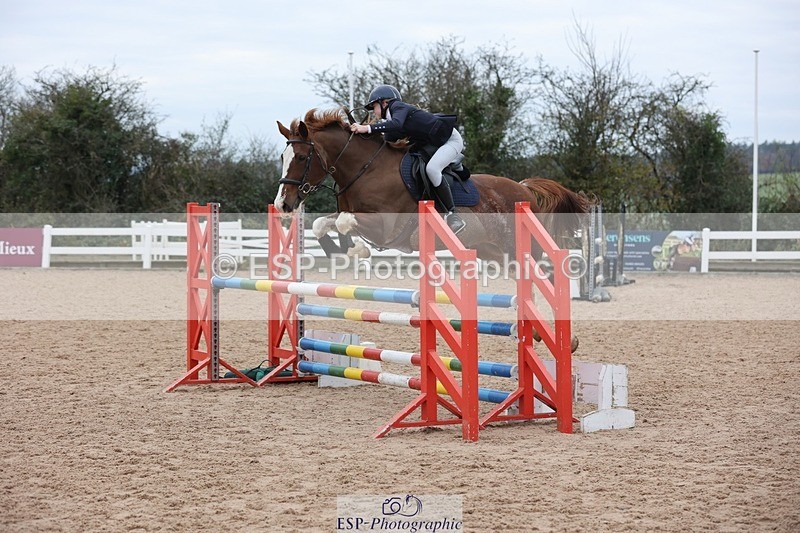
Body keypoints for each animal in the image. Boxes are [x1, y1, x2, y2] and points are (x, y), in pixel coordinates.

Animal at [274, 107, 591, 265]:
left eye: (301, 157)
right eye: (281, 157)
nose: (283, 204)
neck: (365, 169)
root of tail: (525, 190)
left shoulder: (386, 225)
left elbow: (343, 222)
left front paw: (355, 251)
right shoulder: (350, 214)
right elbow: (323, 224)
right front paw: (340, 251)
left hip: (525, 250)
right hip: (492, 252)